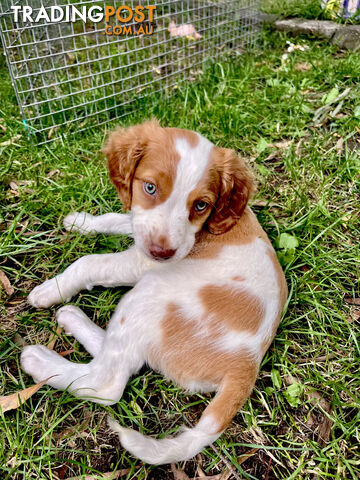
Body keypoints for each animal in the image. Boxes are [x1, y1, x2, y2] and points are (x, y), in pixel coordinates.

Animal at [21, 119, 286, 464]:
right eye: (149, 188)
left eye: (201, 205)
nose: (163, 253)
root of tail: (246, 367)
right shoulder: (140, 222)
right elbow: (120, 218)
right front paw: (83, 222)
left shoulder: (143, 263)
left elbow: (90, 262)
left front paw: (51, 289)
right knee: (125, 356)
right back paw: (71, 318)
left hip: (150, 293)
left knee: (108, 382)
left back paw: (41, 362)